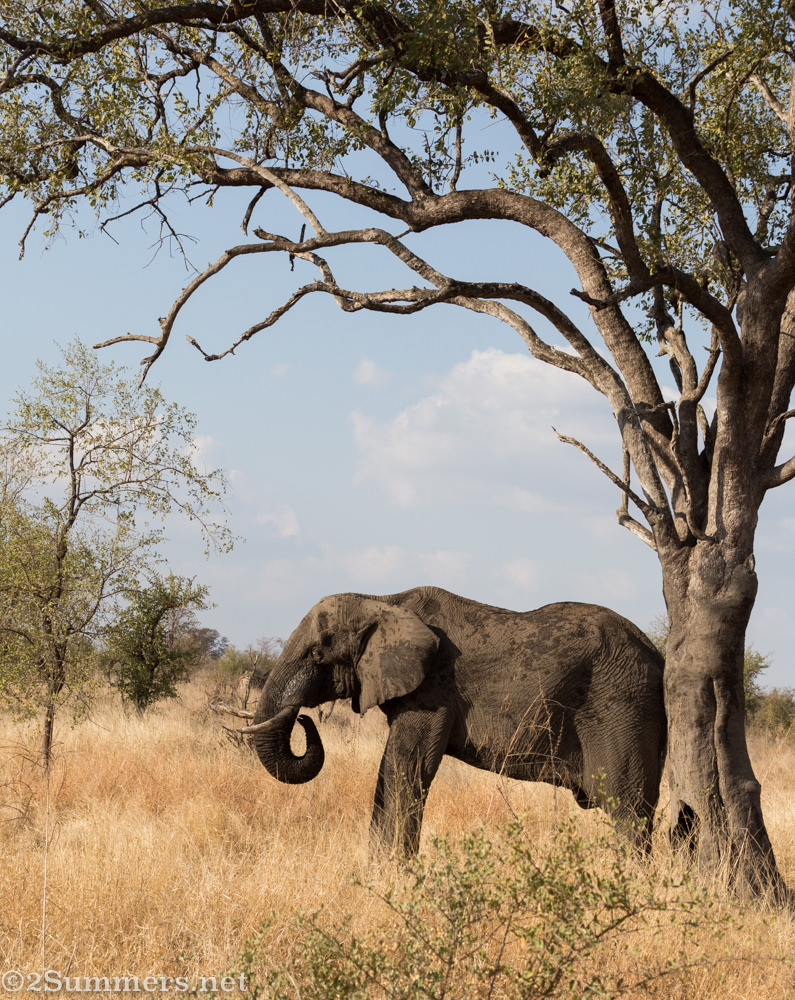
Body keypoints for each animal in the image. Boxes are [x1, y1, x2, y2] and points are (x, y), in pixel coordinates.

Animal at [246, 586, 666, 856]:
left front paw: (394, 874)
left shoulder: (434, 689)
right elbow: (389, 772)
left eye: (318, 653)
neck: (382, 602)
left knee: (628, 810)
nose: (304, 719)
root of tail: (658, 656)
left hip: (622, 706)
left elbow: (406, 768)